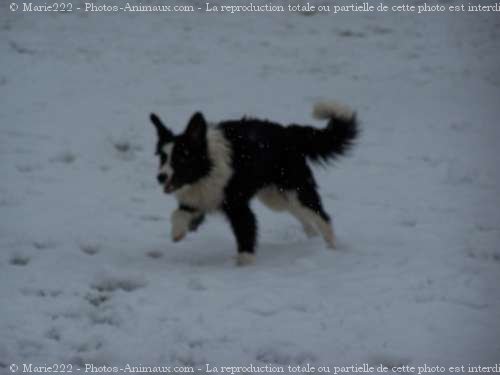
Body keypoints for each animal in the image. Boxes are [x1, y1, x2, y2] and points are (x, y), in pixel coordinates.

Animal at [150, 101, 358, 266]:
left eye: (180, 158)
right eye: (163, 157)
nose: (160, 177)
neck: (206, 168)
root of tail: (288, 132)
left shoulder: (237, 206)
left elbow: (246, 230)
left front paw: (245, 265)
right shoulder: (201, 199)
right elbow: (178, 214)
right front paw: (178, 232)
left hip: (295, 188)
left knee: (322, 216)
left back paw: (331, 247)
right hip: (275, 196)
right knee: (302, 214)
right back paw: (312, 238)